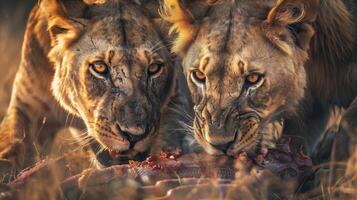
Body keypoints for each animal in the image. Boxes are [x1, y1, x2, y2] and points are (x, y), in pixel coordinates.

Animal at [0, 0, 192, 170]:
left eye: (153, 68)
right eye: (99, 67)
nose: (133, 135)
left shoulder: (177, 102)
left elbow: (167, 136)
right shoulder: (26, 108)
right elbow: (11, 146)